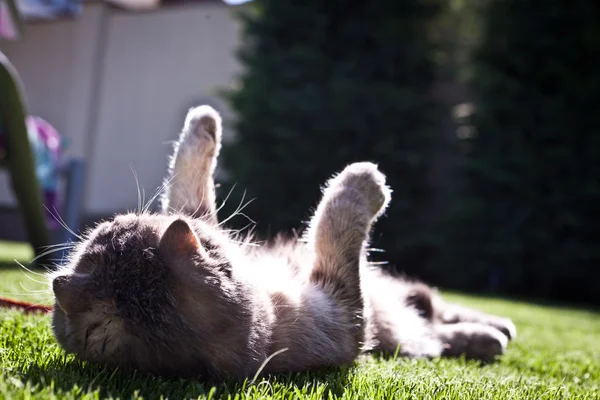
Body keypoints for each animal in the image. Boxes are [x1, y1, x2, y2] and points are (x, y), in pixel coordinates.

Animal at [49, 104, 516, 380]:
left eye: (116, 226)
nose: (115, 217)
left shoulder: (200, 215)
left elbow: (189, 176)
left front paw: (204, 123)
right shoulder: (346, 311)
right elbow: (332, 222)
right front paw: (361, 183)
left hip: (404, 295)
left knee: (437, 309)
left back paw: (496, 326)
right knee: (431, 325)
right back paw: (489, 337)